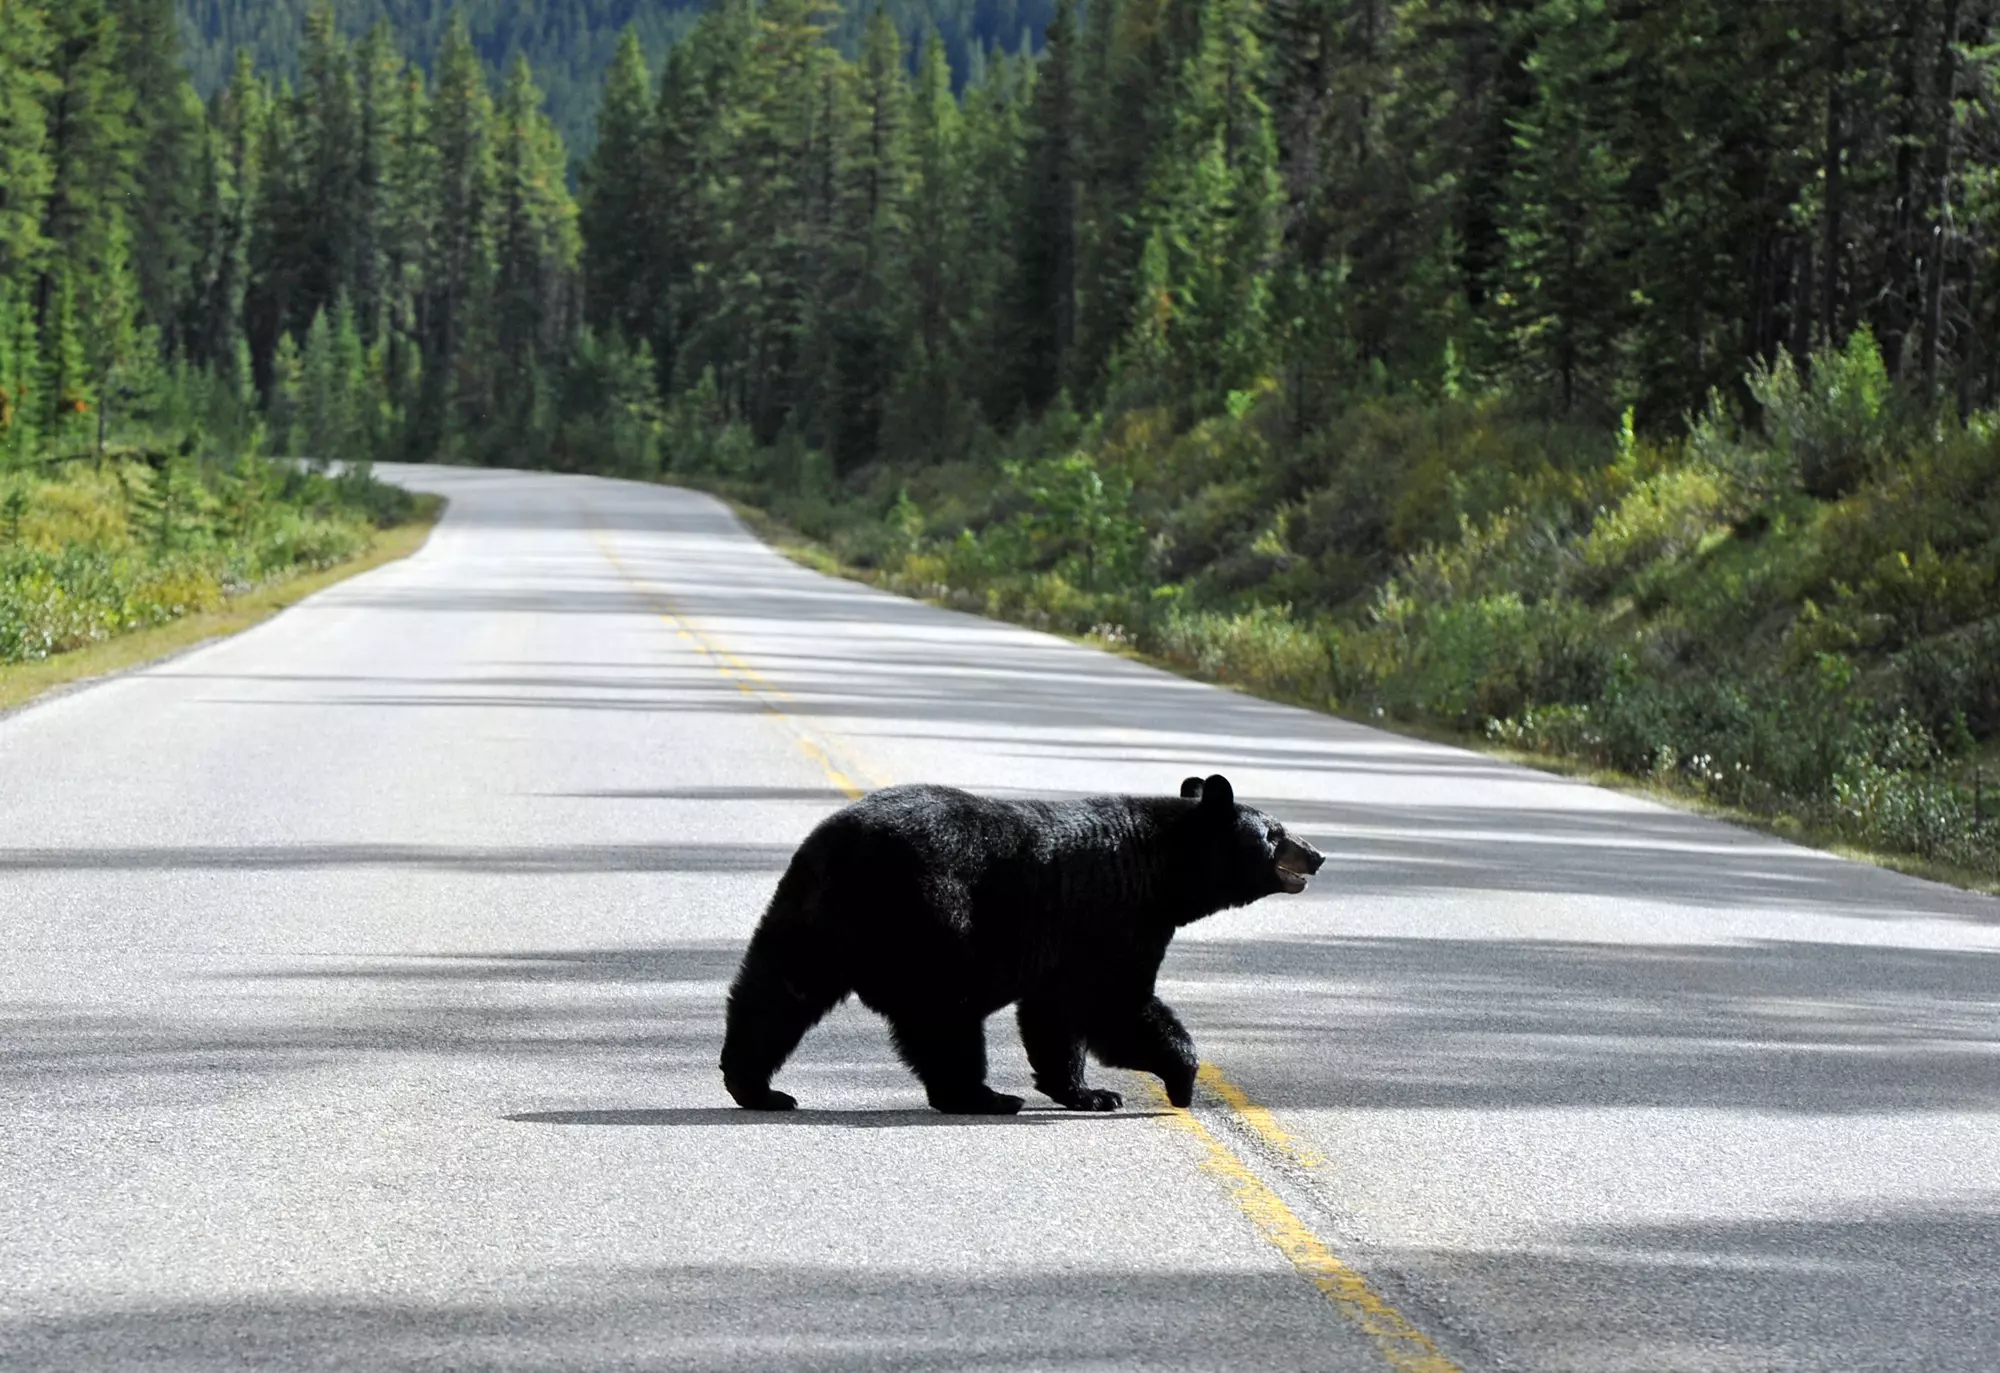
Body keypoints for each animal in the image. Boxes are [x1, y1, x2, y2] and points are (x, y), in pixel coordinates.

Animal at [718, 773, 1325, 1114]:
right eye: (1273, 832)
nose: (1316, 854)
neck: (1161, 870)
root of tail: (843, 849)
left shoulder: (1070, 946)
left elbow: (1055, 1016)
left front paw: (1088, 1094)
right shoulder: (1115, 919)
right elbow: (1115, 1007)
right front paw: (1178, 1082)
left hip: (810, 917)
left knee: (777, 993)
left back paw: (757, 1087)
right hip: (934, 919)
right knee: (944, 1016)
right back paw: (982, 1098)